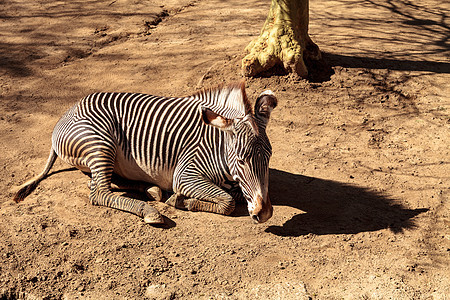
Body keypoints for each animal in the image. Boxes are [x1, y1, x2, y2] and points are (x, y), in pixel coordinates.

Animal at [12, 81, 276, 224]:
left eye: (269, 158)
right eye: (241, 160)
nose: (264, 214)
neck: (217, 144)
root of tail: (68, 111)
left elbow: (237, 194)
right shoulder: (186, 174)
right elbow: (228, 201)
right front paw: (182, 201)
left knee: (104, 182)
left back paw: (151, 190)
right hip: (101, 141)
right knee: (99, 193)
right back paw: (149, 210)